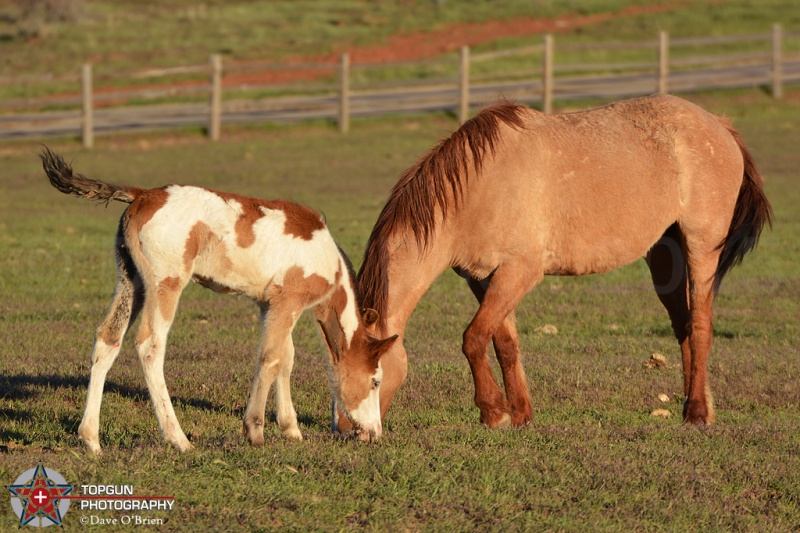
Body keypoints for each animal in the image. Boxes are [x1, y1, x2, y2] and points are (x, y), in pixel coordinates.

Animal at [40, 148, 396, 450]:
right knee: (150, 345)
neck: (326, 258)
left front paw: (291, 429)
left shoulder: (269, 305)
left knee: (107, 339)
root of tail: (142, 195)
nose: (374, 434)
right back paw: (178, 439)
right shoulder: (288, 303)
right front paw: (255, 431)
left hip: (131, 281)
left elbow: (286, 357)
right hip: (165, 283)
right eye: (376, 382)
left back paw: (91, 440)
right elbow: (270, 358)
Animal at [338, 93, 768, 430]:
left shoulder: (519, 273)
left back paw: (696, 413)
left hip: (701, 248)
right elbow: (504, 343)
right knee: (683, 328)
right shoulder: (485, 279)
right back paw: (695, 408)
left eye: (374, 379)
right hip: (665, 257)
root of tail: (718, 124)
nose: (346, 430)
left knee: (701, 325)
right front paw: (520, 414)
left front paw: (494, 413)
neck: (478, 187)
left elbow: (473, 338)